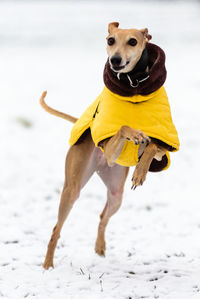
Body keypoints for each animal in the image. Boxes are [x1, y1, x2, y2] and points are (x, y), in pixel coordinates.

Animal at [39, 21, 179, 270]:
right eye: (110, 40)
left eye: (132, 41)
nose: (115, 60)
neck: (134, 87)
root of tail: (101, 165)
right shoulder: (111, 149)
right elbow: (123, 127)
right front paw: (135, 134)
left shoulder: (165, 146)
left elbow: (153, 146)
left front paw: (140, 171)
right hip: (74, 186)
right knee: (57, 228)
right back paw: (48, 265)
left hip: (116, 193)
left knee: (103, 216)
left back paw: (100, 248)